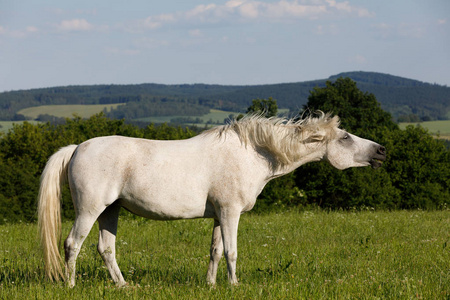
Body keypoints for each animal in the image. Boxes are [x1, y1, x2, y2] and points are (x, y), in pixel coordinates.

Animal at [37, 112, 384, 286]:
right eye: (345, 137)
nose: (381, 151)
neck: (252, 153)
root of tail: (77, 147)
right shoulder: (230, 212)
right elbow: (231, 252)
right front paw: (234, 285)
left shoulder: (219, 214)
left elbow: (215, 251)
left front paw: (212, 285)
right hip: (90, 209)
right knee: (72, 244)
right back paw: (70, 286)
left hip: (111, 211)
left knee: (105, 249)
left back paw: (123, 286)